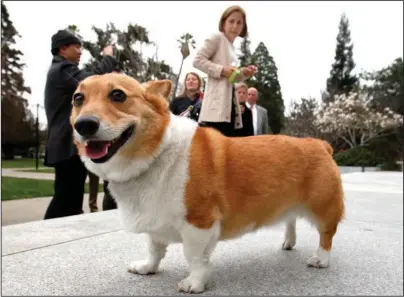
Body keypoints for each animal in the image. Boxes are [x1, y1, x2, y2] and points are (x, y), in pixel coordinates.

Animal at [70, 73, 344, 292]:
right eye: (78, 98)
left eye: (118, 95)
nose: (83, 125)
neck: (155, 154)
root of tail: (320, 144)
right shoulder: (156, 220)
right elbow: (154, 249)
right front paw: (147, 267)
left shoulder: (198, 223)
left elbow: (193, 257)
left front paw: (195, 283)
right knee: (290, 220)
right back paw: (289, 242)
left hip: (323, 206)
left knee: (327, 234)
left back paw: (320, 259)